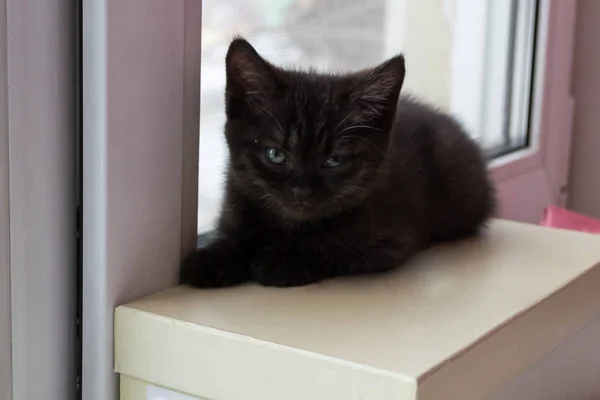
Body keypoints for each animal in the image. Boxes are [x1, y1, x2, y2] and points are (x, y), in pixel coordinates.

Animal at [180, 38, 494, 288]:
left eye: (334, 161)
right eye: (276, 155)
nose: (301, 191)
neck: (290, 226)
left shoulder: (392, 239)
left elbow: (339, 249)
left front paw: (285, 262)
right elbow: (238, 238)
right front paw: (214, 258)